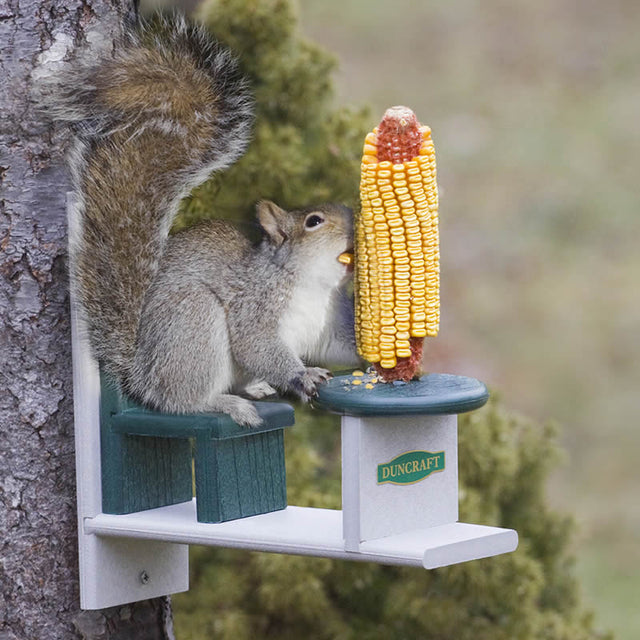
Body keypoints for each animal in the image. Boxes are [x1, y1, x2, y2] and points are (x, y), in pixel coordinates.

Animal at [48, 15, 360, 428]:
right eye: (314, 221)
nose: (355, 219)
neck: (313, 285)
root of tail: (141, 372)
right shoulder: (254, 306)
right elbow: (257, 345)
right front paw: (302, 375)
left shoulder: (327, 327)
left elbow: (341, 347)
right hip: (193, 325)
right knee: (181, 401)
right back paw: (227, 403)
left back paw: (255, 387)